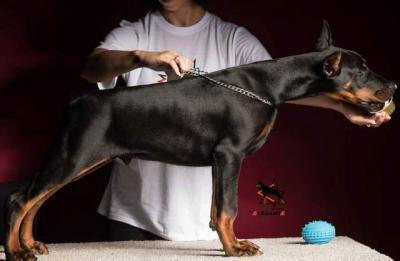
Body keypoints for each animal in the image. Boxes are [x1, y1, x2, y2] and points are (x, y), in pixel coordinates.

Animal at [3, 20, 396, 260]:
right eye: (362, 70)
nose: (393, 85)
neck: (269, 87)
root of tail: (77, 101)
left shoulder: (219, 161)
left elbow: (215, 207)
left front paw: (226, 243)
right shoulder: (230, 154)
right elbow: (228, 207)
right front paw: (235, 248)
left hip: (78, 159)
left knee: (36, 199)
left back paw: (30, 244)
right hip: (75, 155)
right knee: (21, 198)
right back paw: (17, 250)